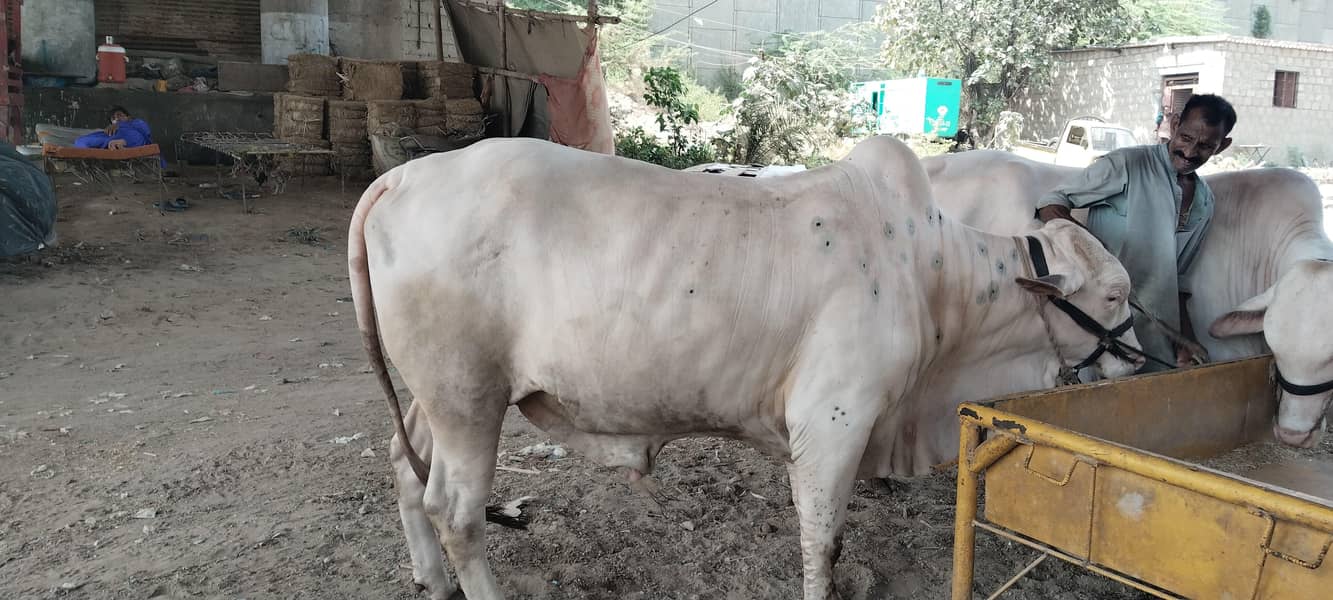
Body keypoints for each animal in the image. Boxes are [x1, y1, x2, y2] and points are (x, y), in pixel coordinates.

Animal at [348, 136, 1143, 600]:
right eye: (1113, 293)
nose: (1137, 361)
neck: (933, 275)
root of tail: (404, 177)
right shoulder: (834, 420)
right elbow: (822, 539)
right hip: (467, 398)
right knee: (456, 512)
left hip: (441, 396)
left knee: (405, 466)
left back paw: (429, 579)